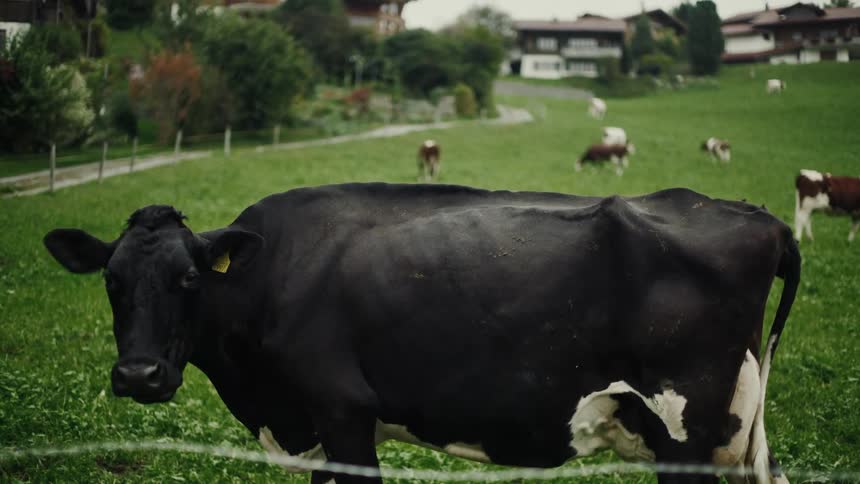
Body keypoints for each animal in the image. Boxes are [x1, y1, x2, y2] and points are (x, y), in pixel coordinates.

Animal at [43, 183, 800, 484]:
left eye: (189, 280)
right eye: (111, 281)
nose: (139, 375)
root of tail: (755, 215)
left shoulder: (344, 415)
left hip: (688, 432)